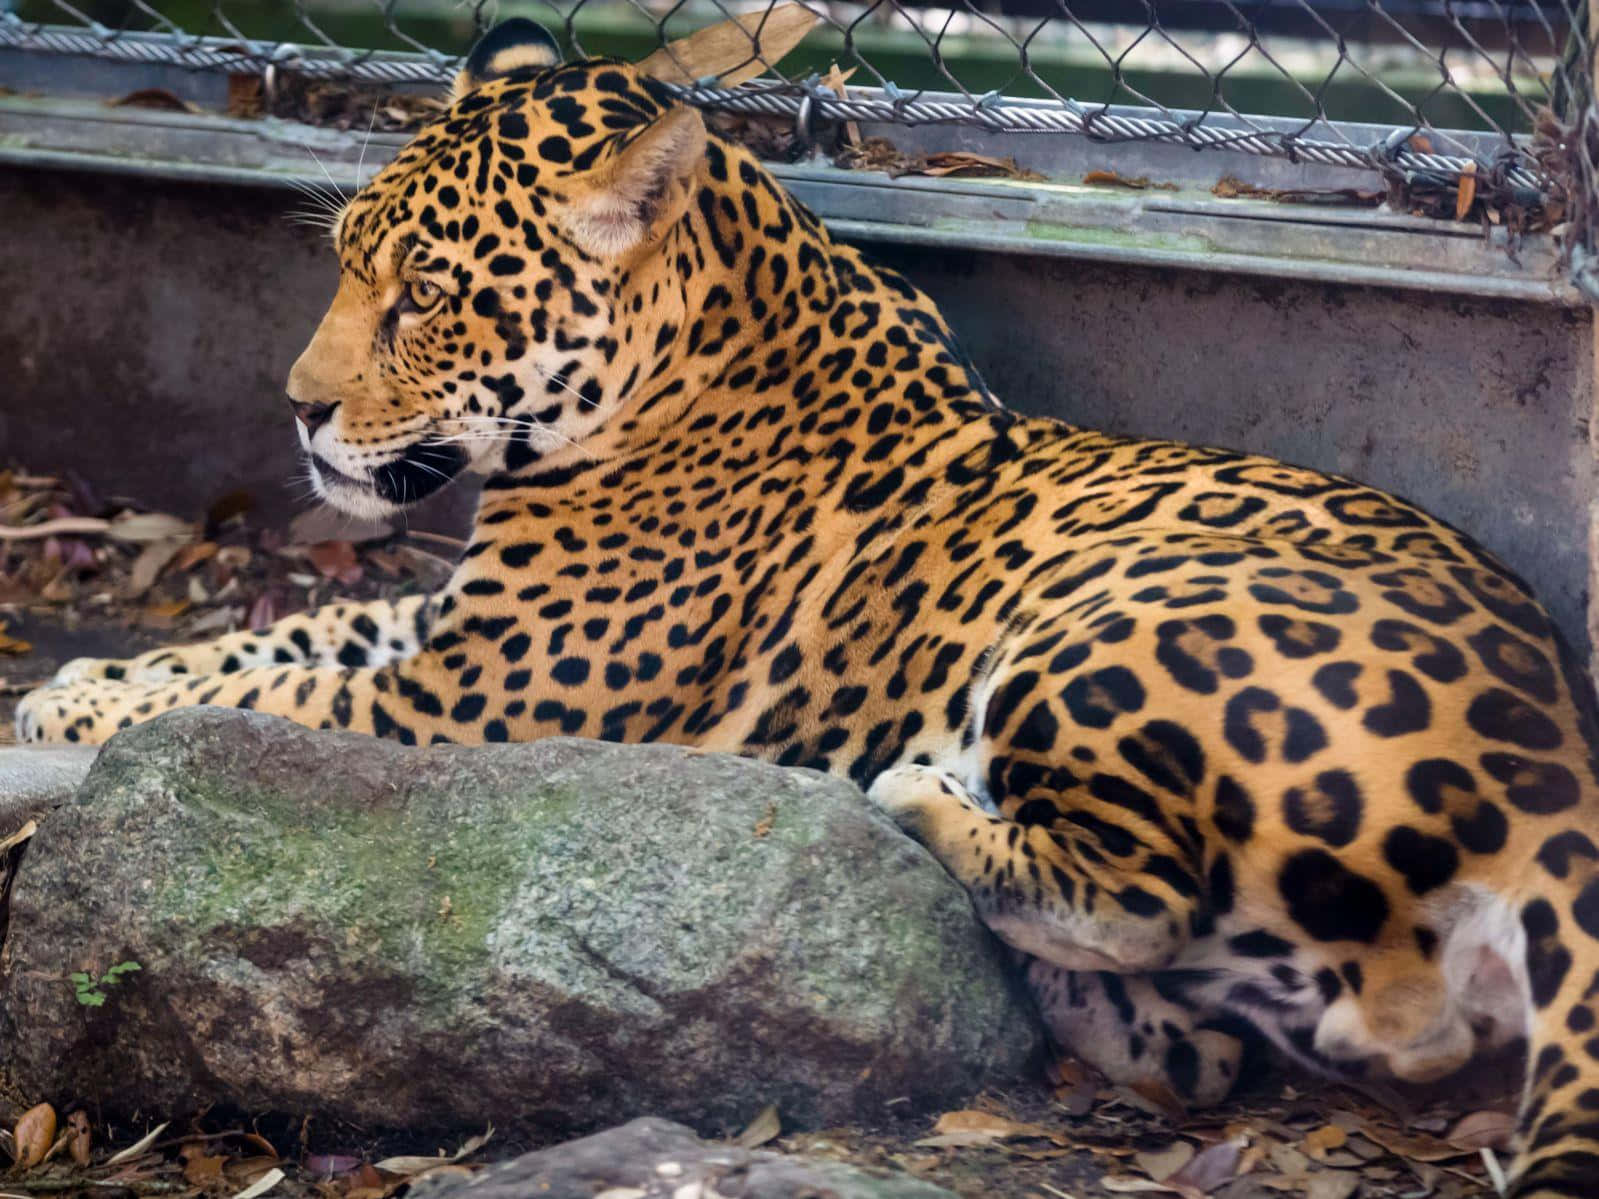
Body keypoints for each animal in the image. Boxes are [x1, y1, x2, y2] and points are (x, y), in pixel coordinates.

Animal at [17, 19, 1599, 1194]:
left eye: (427, 296)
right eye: (347, 261)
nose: (297, 411)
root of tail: (1558, 764)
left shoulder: (465, 698)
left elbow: (272, 684)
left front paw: (68, 717)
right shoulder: (448, 638)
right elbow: (272, 638)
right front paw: (76, 687)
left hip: (1104, 626)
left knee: (1146, 885)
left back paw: (918, 800)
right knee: (1336, 1029)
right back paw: (1113, 1019)